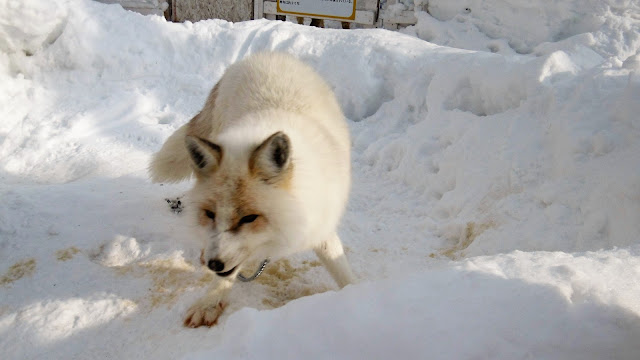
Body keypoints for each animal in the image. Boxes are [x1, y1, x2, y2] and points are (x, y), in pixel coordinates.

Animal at [150, 52, 356, 326]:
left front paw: (359, 294)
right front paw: (210, 302)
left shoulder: (320, 225)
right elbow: (227, 274)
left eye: (249, 218)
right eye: (210, 214)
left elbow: (341, 269)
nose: (214, 264)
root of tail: (266, 54)